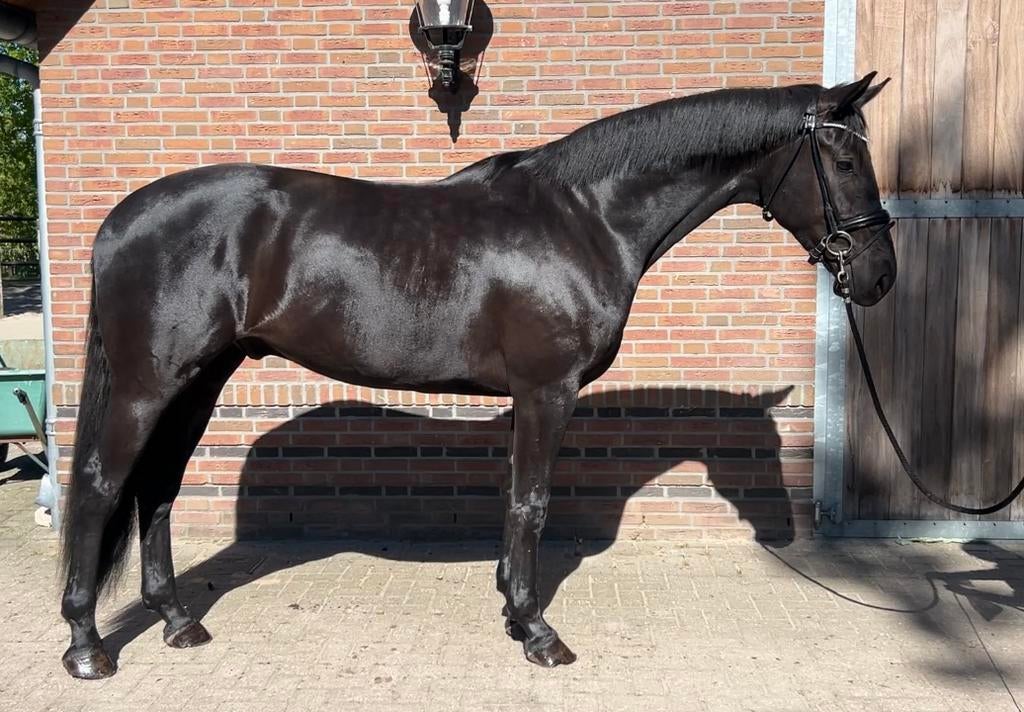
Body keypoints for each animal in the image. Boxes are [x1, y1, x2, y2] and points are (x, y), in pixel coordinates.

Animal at [59, 72, 895, 679]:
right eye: (846, 159)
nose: (879, 277)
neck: (583, 218)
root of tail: (120, 220)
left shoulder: (530, 398)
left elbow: (514, 504)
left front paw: (511, 608)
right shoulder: (548, 393)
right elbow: (532, 504)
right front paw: (539, 632)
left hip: (199, 381)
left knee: (158, 488)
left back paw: (177, 622)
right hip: (148, 385)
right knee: (102, 487)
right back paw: (87, 647)